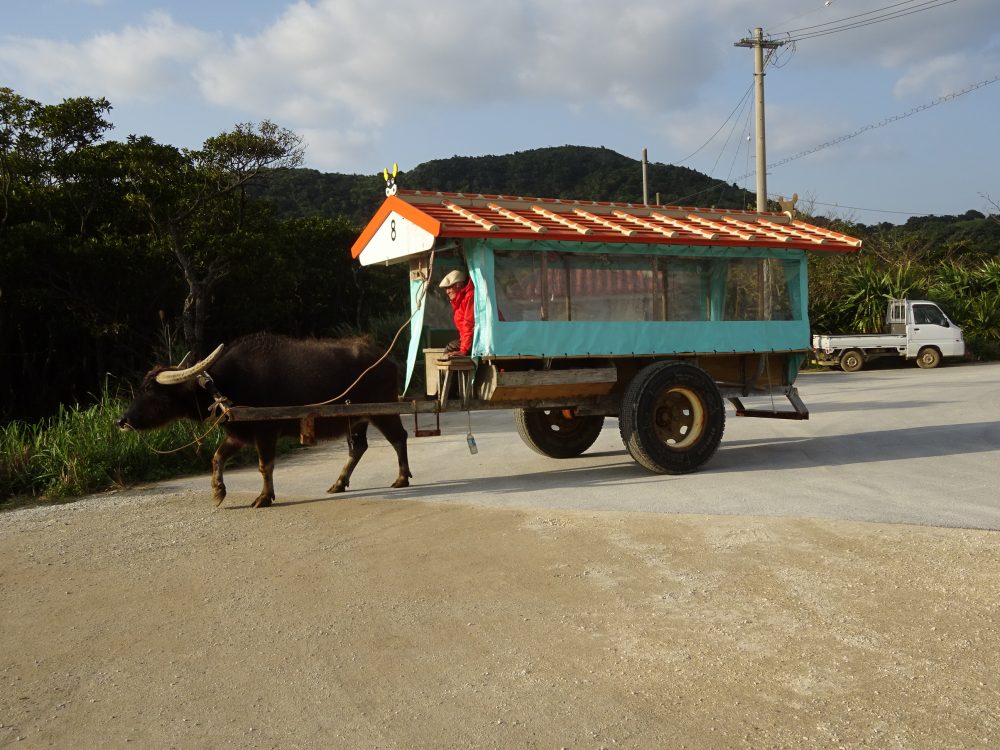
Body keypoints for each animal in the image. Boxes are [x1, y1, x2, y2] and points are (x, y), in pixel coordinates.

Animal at [117, 334, 410, 512]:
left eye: (151, 390)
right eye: (141, 387)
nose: (122, 420)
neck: (226, 386)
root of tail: (388, 359)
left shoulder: (266, 430)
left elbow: (264, 465)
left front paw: (264, 497)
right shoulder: (239, 433)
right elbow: (217, 457)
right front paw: (218, 491)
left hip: (383, 412)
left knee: (399, 438)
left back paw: (401, 478)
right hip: (357, 418)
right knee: (358, 448)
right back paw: (338, 483)